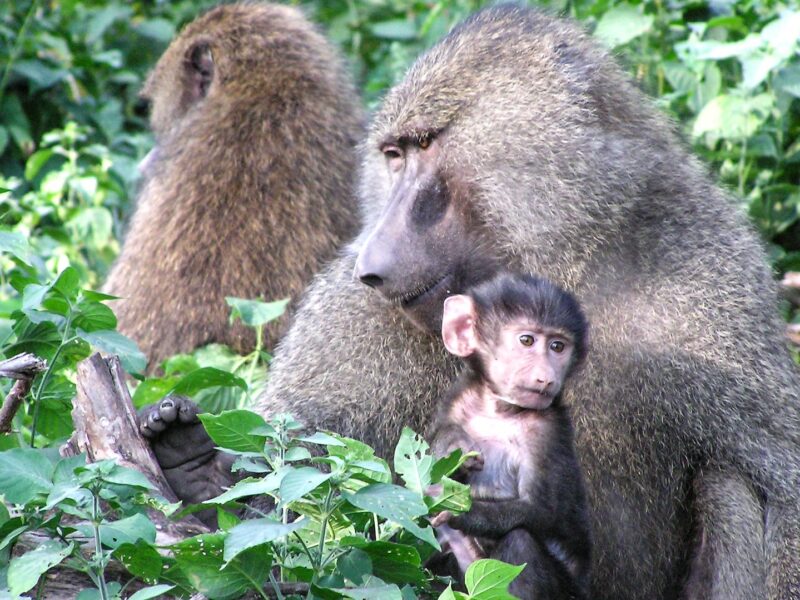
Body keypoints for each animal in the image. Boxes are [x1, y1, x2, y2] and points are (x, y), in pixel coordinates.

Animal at [427, 273, 592, 599]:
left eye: (558, 346)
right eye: (526, 340)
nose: (546, 377)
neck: (500, 410)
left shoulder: (545, 431)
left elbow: (540, 512)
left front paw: (459, 511)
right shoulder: (457, 401)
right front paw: (452, 448)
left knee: (519, 540)